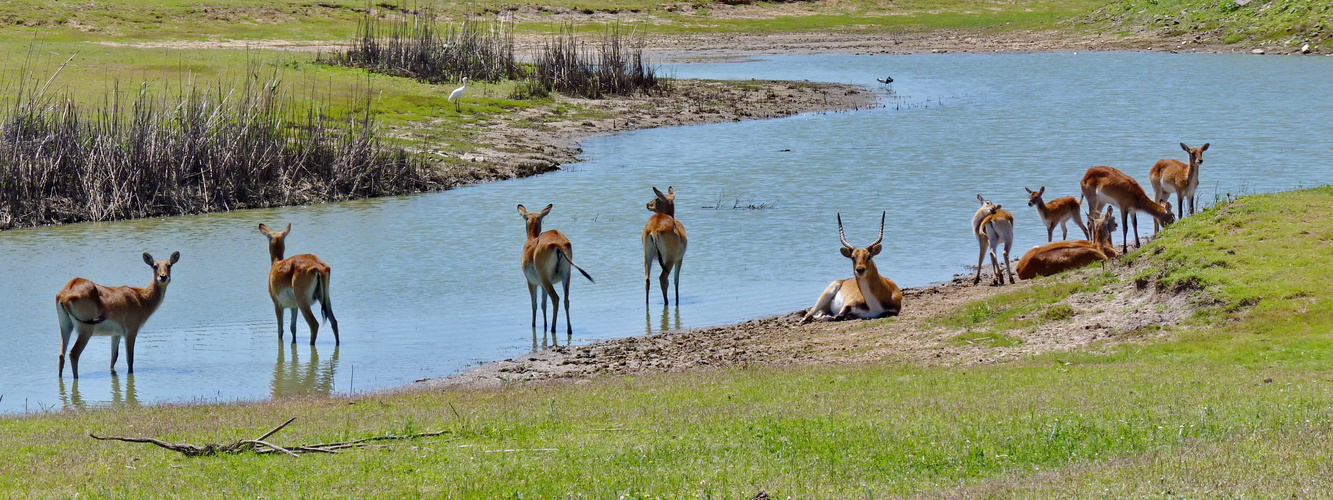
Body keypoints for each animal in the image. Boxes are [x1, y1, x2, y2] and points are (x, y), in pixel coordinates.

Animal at [517, 204, 597, 337]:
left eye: (525, 217)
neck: (531, 242)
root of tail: (558, 243)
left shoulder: (532, 282)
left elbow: (535, 304)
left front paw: (534, 325)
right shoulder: (541, 284)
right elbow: (543, 304)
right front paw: (544, 325)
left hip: (546, 279)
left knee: (555, 298)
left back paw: (553, 328)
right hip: (566, 275)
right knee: (566, 300)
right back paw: (569, 329)